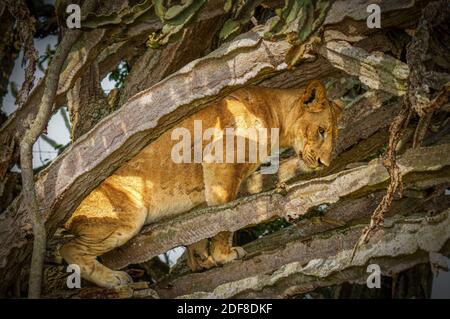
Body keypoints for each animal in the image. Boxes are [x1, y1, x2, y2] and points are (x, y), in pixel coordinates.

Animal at [59, 79, 342, 288]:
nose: (324, 163)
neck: (275, 116)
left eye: (330, 134)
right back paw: (114, 279)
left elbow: (201, 226)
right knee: (69, 249)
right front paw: (225, 256)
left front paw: (202, 261)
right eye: (321, 131)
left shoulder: (219, 184)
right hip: (128, 215)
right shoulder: (220, 163)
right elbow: (225, 220)